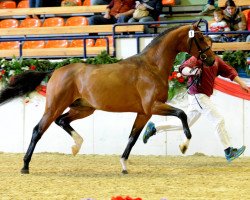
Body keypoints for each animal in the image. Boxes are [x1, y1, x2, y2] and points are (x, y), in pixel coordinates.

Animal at [0, 20, 215, 173]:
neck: (151, 67)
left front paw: (124, 165)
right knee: (38, 130)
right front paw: (184, 145)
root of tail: (55, 70)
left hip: (83, 108)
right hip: (54, 106)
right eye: (200, 38)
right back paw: (25, 166)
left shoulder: (144, 113)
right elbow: (182, 114)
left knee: (62, 121)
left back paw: (76, 146)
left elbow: (133, 137)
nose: (211, 60)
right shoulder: (153, 106)